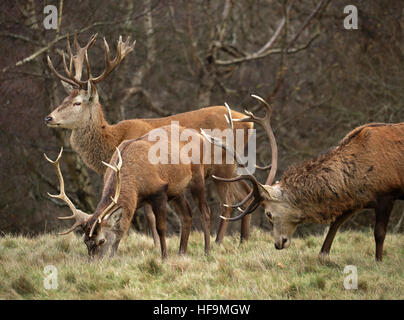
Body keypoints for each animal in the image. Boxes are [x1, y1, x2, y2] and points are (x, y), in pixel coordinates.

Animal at [44, 124, 215, 258]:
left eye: (102, 240)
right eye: (85, 241)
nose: (93, 263)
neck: (136, 185)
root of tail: (200, 136)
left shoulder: (159, 191)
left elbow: (161, 228)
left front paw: (164, 257)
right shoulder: (138, 201)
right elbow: (123, 229)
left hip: (198, 176)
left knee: (205, 212)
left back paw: (207, 251)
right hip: (177, 191)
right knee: (187, 215)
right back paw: (181, 253)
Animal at [207, 94, 402, 260]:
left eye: (269, 213)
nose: (278, 243)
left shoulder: (387, 193)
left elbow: (379, 233)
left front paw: (378, 260)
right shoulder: (358, 199)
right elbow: (336, 222)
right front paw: (323, 254)